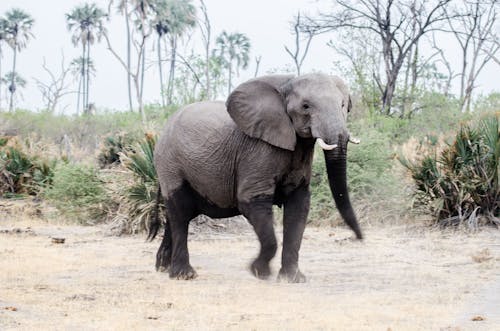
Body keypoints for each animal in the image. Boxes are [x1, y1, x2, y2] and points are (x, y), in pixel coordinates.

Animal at [148, 72, 364, 282]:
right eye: (305, 106)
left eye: (343, 105)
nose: (360, 237)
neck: (288, 82)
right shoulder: (257, 151)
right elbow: (252, 202)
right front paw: (259, 272)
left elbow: (298, 205)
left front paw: (292, 279)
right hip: (170, 164)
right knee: (180, 212)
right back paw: (183, 275)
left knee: (178, 214)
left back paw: (163, 268)